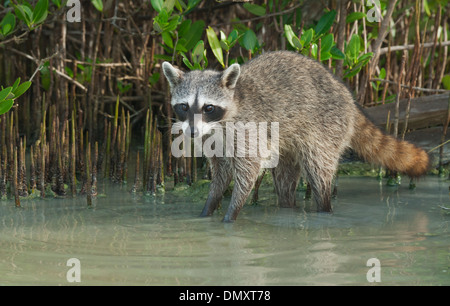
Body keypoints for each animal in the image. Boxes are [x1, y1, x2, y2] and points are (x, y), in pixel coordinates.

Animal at [163, 50, 430, 222]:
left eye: (208, 107)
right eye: (184, 106)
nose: (192, 132)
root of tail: (348, 98)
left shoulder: (248, 130)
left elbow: (248, 171)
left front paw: (231, 214)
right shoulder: (213, 139)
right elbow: (221, 173)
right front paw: (208, 208)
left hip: (326, 128)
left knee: (319, 171)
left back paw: (324, 209)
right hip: (289, 142)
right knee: (284, 178)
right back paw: (287, 207)